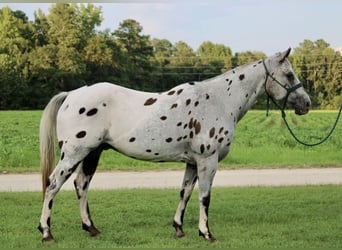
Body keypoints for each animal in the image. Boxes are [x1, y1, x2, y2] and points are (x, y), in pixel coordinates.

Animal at [38, 48, 312, 242]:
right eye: (289, 74)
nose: (306, 103)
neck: (220, 100)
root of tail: (71, 95)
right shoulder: (208, 160)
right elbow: (204, 197)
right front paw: (206, 233)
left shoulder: (193, 162)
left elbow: (185, 192)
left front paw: (179, 228)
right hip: (74, 153)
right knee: (53, 184)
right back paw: (46, 232)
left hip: (92, 153)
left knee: (81, 185)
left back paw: (91, 228)